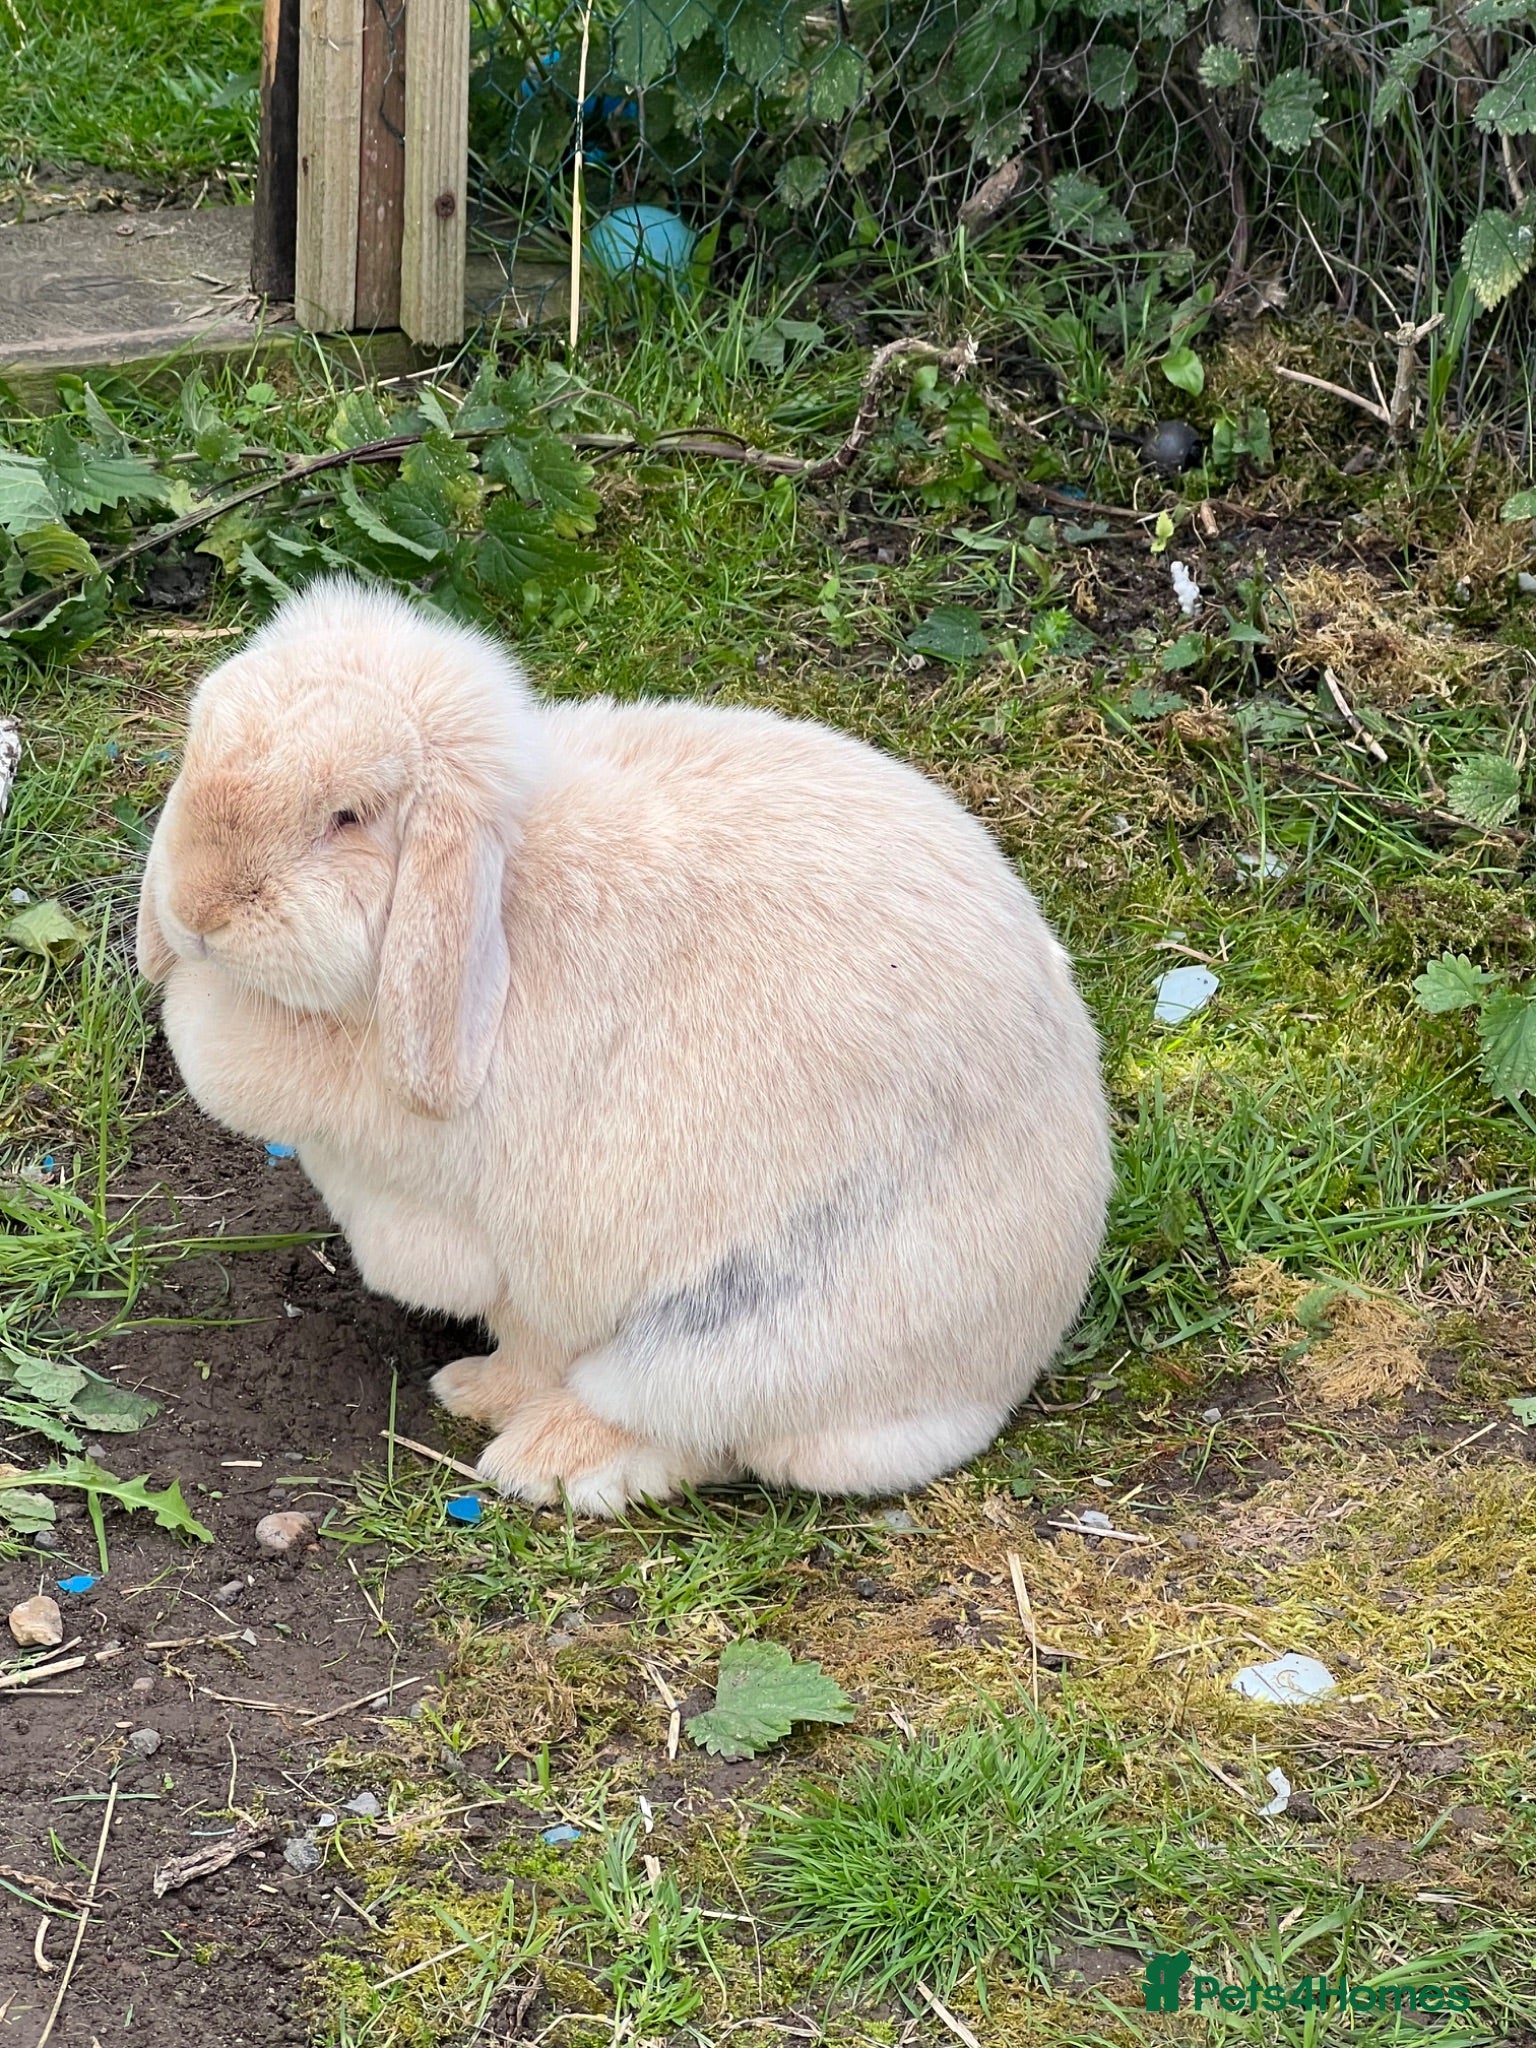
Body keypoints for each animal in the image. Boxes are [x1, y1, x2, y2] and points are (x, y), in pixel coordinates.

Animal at [137, 575, 1112, 1515]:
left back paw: (551, 1463)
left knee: (697, 1430)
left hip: (733, 1328)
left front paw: (485, 1403)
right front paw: (472, 1393)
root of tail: (1013, 1358)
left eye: (348, 816)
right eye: (196, 751)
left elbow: (535, 1343)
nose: (198, 911)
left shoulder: (521, 1253)